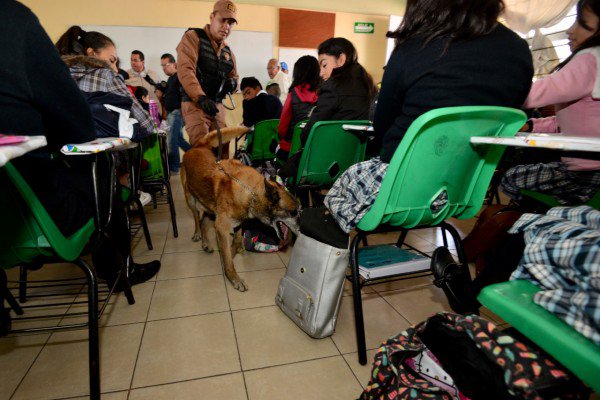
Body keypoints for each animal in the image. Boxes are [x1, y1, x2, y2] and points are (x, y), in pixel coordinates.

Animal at [179, 126, 298, 292]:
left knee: (203, 221)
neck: (250, 192)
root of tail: (198, 147)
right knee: (196, 216)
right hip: (190, 198)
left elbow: (235, 243)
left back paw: (206, 243)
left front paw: (231, 254)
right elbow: (228, 257)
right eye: (293, 212)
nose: (301, 231)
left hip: (210, 208)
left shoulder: (236, 223)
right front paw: (234, 278)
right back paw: (197, 235)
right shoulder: (222, 227)